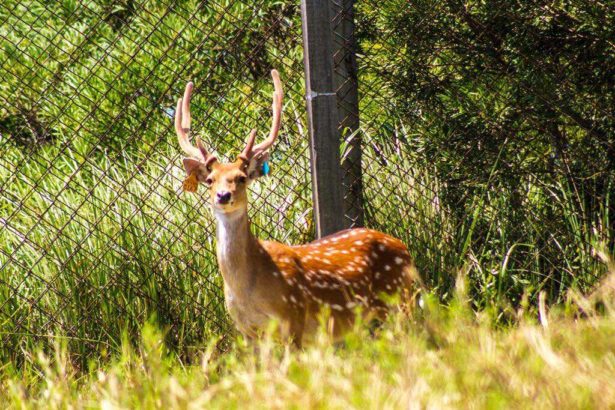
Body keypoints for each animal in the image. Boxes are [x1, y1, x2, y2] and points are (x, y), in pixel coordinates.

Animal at [176, 69, 422, 346]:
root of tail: (404, 248)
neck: (247, 290)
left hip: (400, 299)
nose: (223, 195)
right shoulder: (246, 331)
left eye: (241, 177)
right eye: (210, 179)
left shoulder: (293, 316)